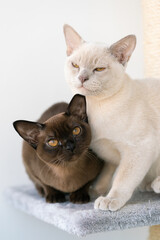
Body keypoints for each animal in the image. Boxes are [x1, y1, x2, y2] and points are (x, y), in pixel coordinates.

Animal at [63, 24, 160, 211]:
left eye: (99, 69)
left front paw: (110, 199)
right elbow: (106, 173)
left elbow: (122, 179)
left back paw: (156, 184)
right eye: (75, 65)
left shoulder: (140, 148)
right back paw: (148, 184)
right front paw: (95, 191)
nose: (82, 78)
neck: (94, 107)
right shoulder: (106, 152)